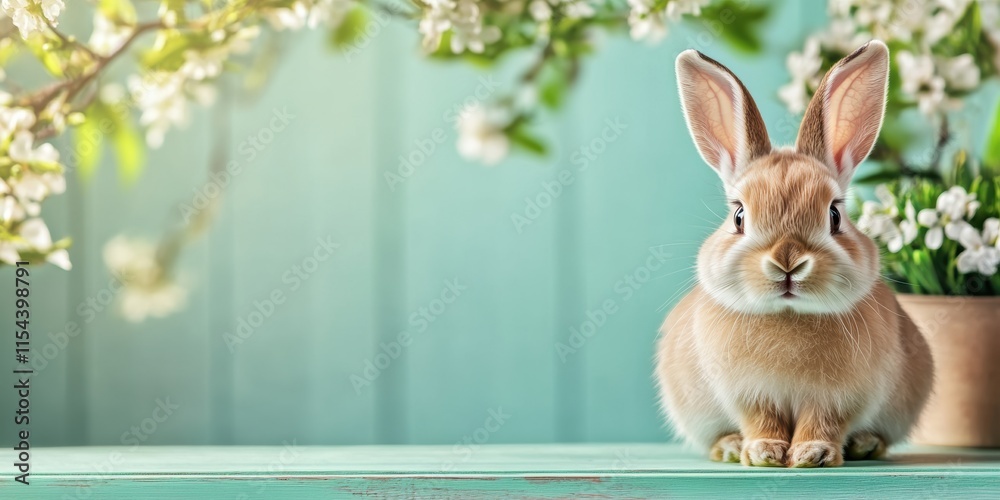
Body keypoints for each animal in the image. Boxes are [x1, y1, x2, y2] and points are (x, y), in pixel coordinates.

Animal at [656, 40, 934, 468]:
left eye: (834, 216)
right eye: (738, 216)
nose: (787, 261)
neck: (789, 315)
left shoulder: (838, 399)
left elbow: (823, 421)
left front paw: (811, 454)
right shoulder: (749, 395)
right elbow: (762, 420)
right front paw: (764, 452)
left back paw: (865, 444)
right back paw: (730, 447)